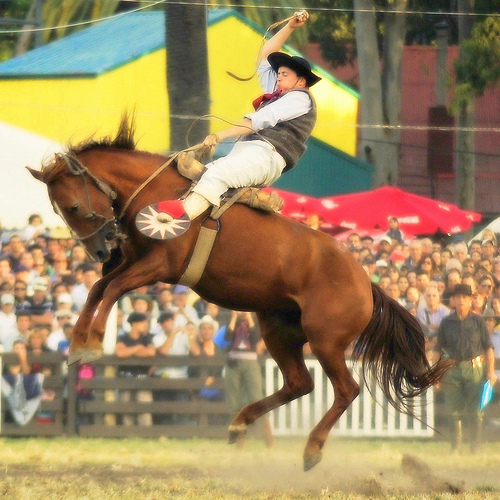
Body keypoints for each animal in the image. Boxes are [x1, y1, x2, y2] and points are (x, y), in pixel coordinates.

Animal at [28, 116, 450, 471]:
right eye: (61, 210)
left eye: (74, 205)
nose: (100, 251)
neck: (159, 192)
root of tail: (366, 283)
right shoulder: (133, 262)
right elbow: (98, 287)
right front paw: (78, 343)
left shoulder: (160, 266)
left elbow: (112, 287)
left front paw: (93, 342)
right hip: (278, 330)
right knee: (300, 383)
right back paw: (239, 424)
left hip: (326, 340)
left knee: (346, 389)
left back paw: (311, 449)